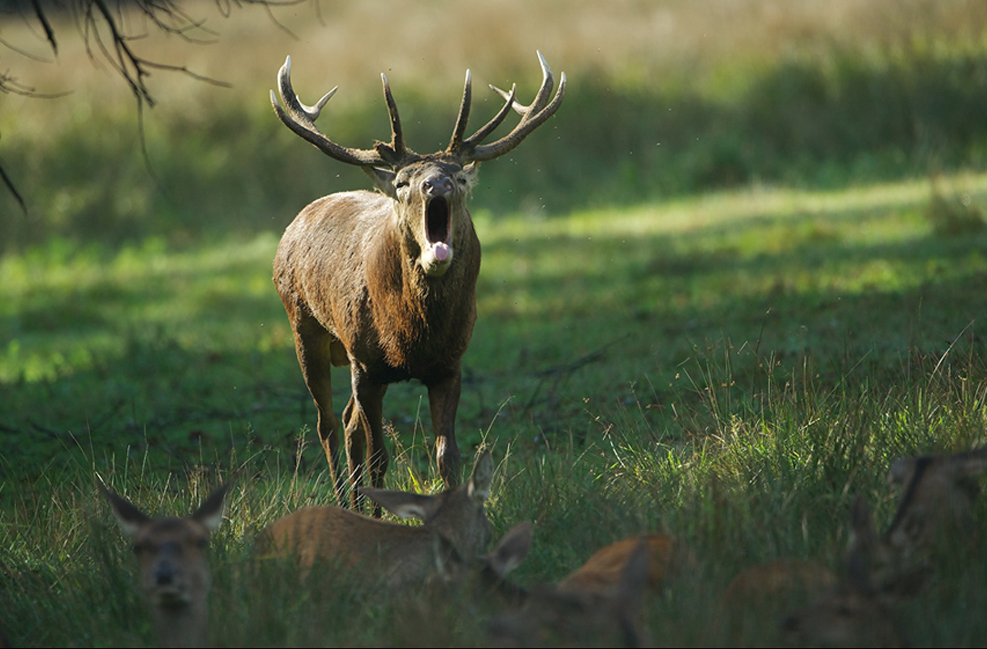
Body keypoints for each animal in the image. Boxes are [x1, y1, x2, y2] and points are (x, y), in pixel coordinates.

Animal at [269, 52, 565, 512]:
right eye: (402, 182)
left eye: (458, 177)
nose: (435, 183)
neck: (410, 334)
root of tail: (297, 221)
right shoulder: (367, 366)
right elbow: (379, 455)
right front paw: (377, 517)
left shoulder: (449, 364)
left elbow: (448, 456)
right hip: (304, 324)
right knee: (327, 424)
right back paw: (343, 503)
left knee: (347, 422)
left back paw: (354, 503)